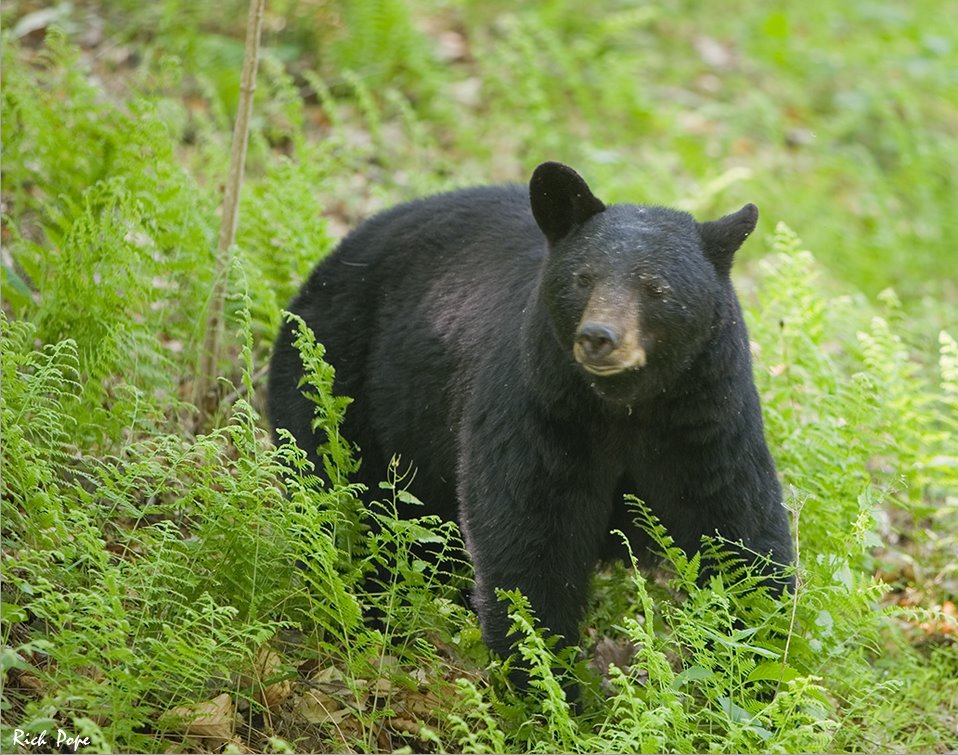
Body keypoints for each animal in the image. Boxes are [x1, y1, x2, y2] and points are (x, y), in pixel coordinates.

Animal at [268, 162, 796, 664]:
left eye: (656, 288)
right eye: (584, 277)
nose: (598, 336)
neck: (624, 406)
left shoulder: (705, 418)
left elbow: (739, 529)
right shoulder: (539, 407)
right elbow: (527, 536)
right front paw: (545, 679)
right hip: (336, 380)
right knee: (344, 505)